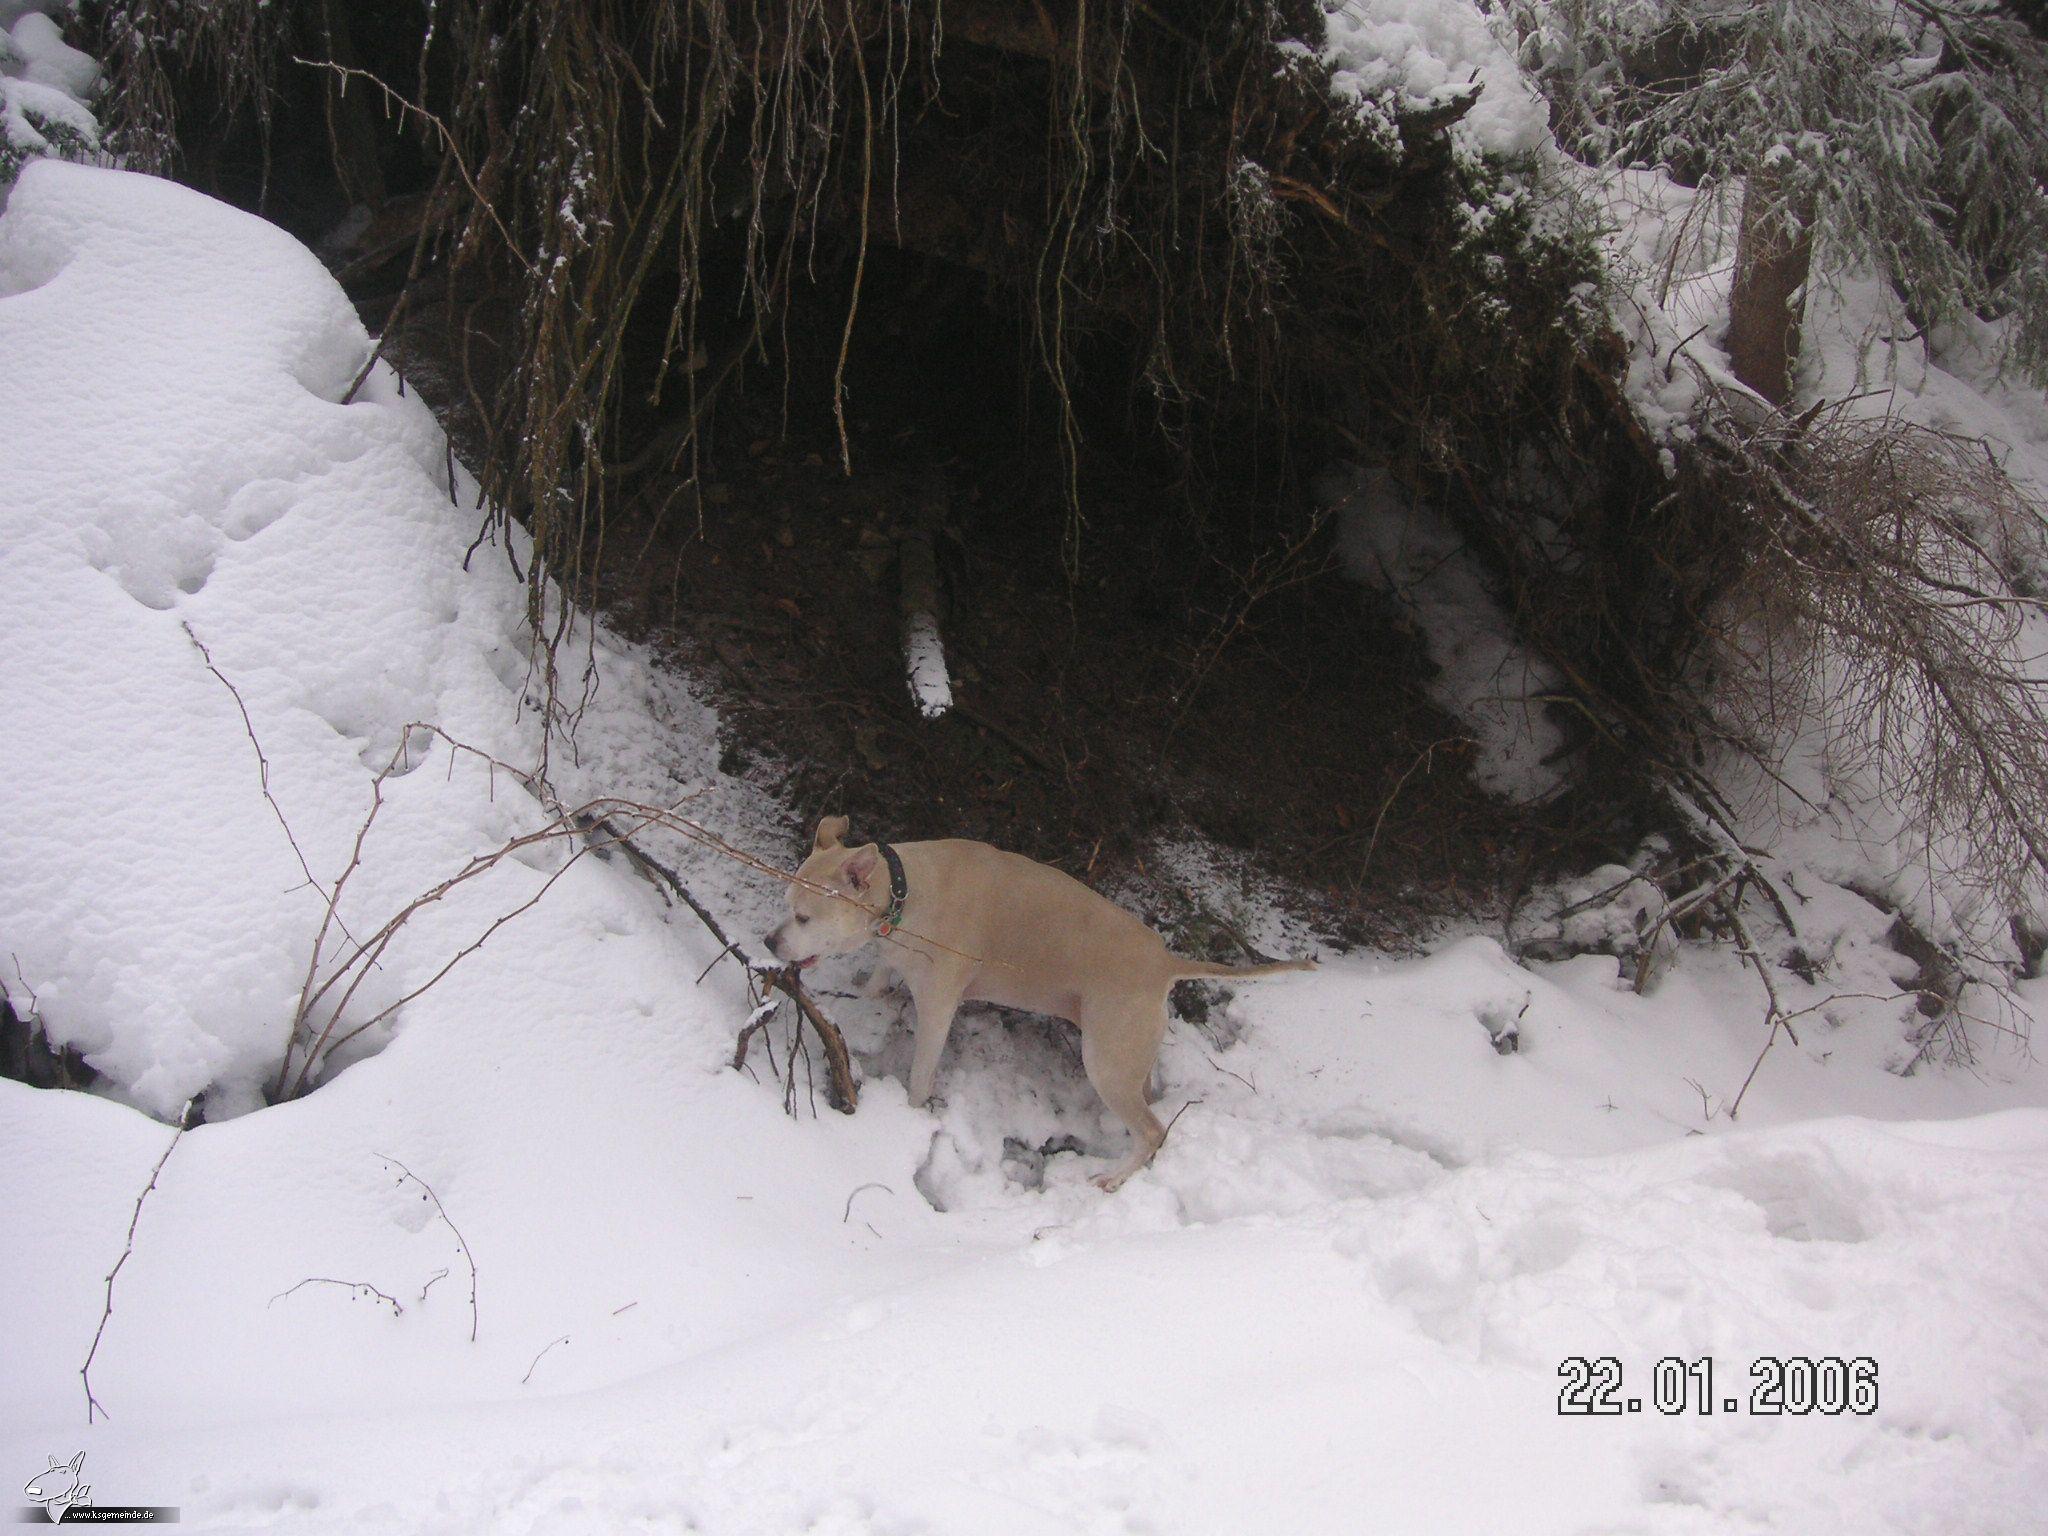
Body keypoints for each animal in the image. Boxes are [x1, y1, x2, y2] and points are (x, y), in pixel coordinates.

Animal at [765, 819, 1310, 1187]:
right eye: (785, 903)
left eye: (805, 917)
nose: (770, 941)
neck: (904, 891)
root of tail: (1163, 961)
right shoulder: (891, 958)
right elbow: (876, 983)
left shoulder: (938, 1007)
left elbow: (920, 1076)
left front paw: (912, 1116)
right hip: (1130, 1054)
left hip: (1106, 1060)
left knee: (1153, 1130)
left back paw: (1114, 1177)